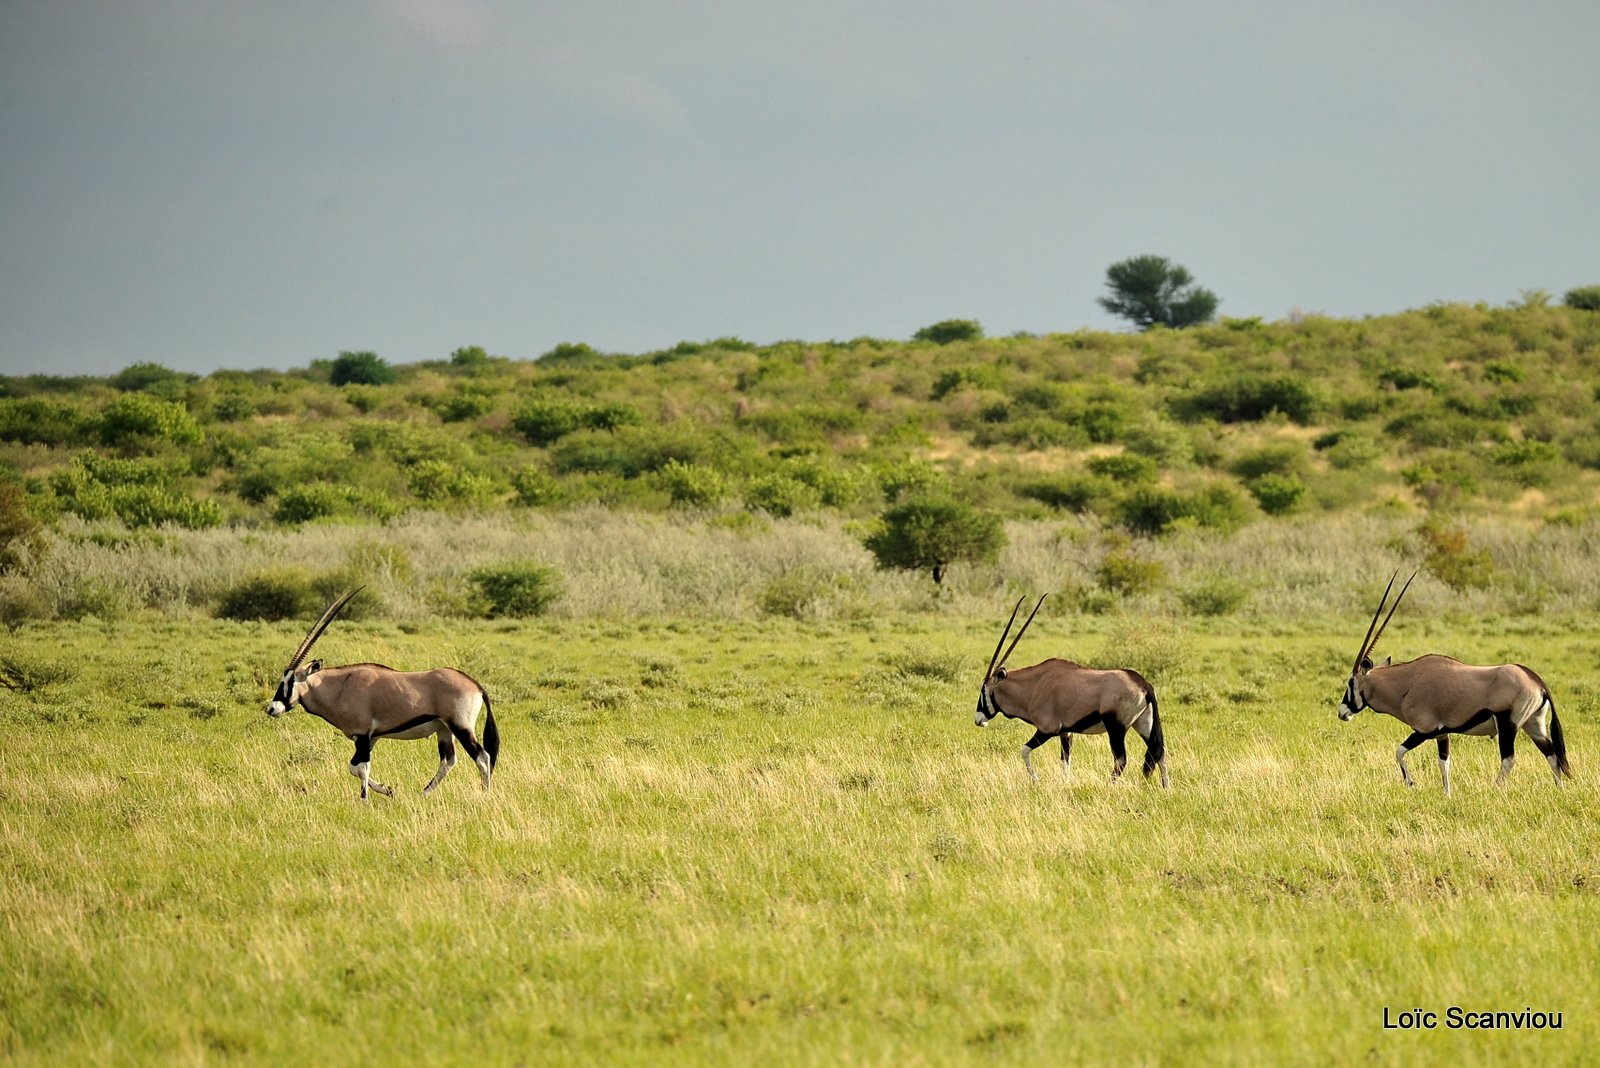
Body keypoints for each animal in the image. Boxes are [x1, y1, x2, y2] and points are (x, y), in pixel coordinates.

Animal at [265, 588, 499, 796]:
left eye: (289, 682)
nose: (271, 708)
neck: (340, 686)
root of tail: (476, 685)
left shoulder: (362, 736)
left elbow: (360, 768)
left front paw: (366, 799)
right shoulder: (372, 738)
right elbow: (354, 768)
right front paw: (388, 790)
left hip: (461, 726)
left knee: (483, 757)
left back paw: (484, 795)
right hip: (444, 729)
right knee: (449, 760)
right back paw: (424, 793)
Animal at [966, 597, 1171, 789]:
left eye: (983, 690)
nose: (978, 719)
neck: (1034, 686)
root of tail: (1141, 682)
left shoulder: (1047, 729)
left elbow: (1024, 750)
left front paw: (1036, 780)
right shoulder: (1066, 732)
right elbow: (1065, 761)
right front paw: (1066, 784)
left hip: (1116, 728)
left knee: (1121, 759)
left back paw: (1108, 787)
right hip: (1143, 724)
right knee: (1159, 753)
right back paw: (1166, 789)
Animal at [1337, 575, 1561, 793]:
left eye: (1350, 681)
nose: (1342, 712)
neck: (1407, 683)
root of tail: (1537, 682)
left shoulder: (1424, 730)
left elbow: (1399, 751)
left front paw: (1410, 783)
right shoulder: (1442, 733)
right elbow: (1444, 763)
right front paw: (1447, 794)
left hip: (1508, 726)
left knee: (1509, 760)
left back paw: (1493, 790)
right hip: (1534, 725)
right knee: (1552, 754)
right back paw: (1560, 790)